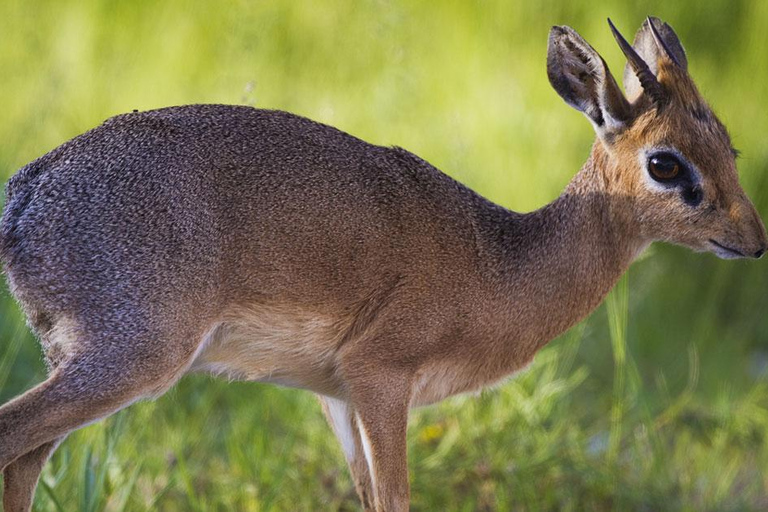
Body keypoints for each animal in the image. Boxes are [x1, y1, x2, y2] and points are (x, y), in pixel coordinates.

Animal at [1, 16, 768, 512]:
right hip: (132, 358)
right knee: (13, 435)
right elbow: (397, 500)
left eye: (726, 142)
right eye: (666, 163)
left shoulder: (338, 396)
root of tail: (26, 190)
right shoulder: (381, 377)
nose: (754, 239)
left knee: (24, 461)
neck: (498, 260)